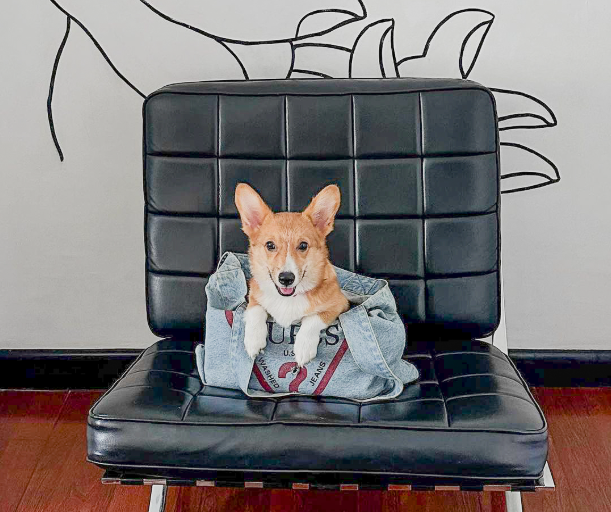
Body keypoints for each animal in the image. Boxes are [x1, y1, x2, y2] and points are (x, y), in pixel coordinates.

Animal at [234, 184, 350, 368]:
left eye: (303, 245)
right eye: (270, 245)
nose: (286, 278)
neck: (287, 299)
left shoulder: (339, 304)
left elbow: (313, 318)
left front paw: (303, 348)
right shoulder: (253, 296)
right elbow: (255, 309)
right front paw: (253, 340)